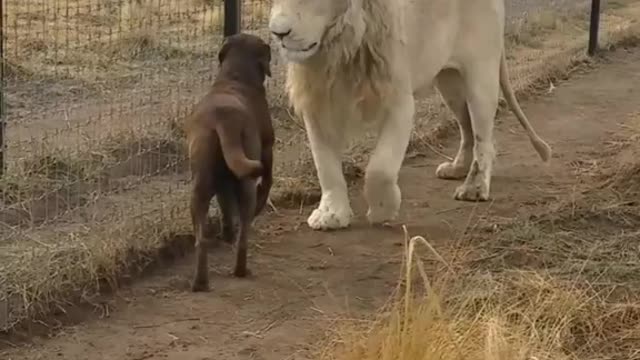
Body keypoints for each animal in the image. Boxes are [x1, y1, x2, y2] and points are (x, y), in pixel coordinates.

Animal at [185, 33, 276, 292]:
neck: (234, 76)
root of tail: (223, 119)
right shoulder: (268, 148)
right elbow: (268, 181)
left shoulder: (223, 184)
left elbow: (226, 206)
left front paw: (226, 233)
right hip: (246, 184)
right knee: (245, 230)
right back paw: (241, 269)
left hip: (200, 188)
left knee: (201, 241)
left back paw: (200, 282)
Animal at [268, 0, 552, 231]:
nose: (278, 33)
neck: (339, 49)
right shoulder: (317, 105)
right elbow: (325, 166)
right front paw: (331, 214)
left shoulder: (399, 102)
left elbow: (380, 168)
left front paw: (383, 209)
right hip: (449, 82)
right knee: (467, 128)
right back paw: (457, 169)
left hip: (479, 75)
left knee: (484, 137)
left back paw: (475, 187)